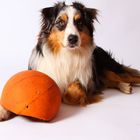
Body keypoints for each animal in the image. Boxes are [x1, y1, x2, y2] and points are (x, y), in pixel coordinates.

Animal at [0, 1, 140, 121]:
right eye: (60, 22)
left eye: (79, 22)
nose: (73, 38)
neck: (66, 54)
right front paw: (4, 110)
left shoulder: (88, 83)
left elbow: (72, 90)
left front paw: (67, 94)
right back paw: (125, 86)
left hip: (106, 69)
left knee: (128, 76)